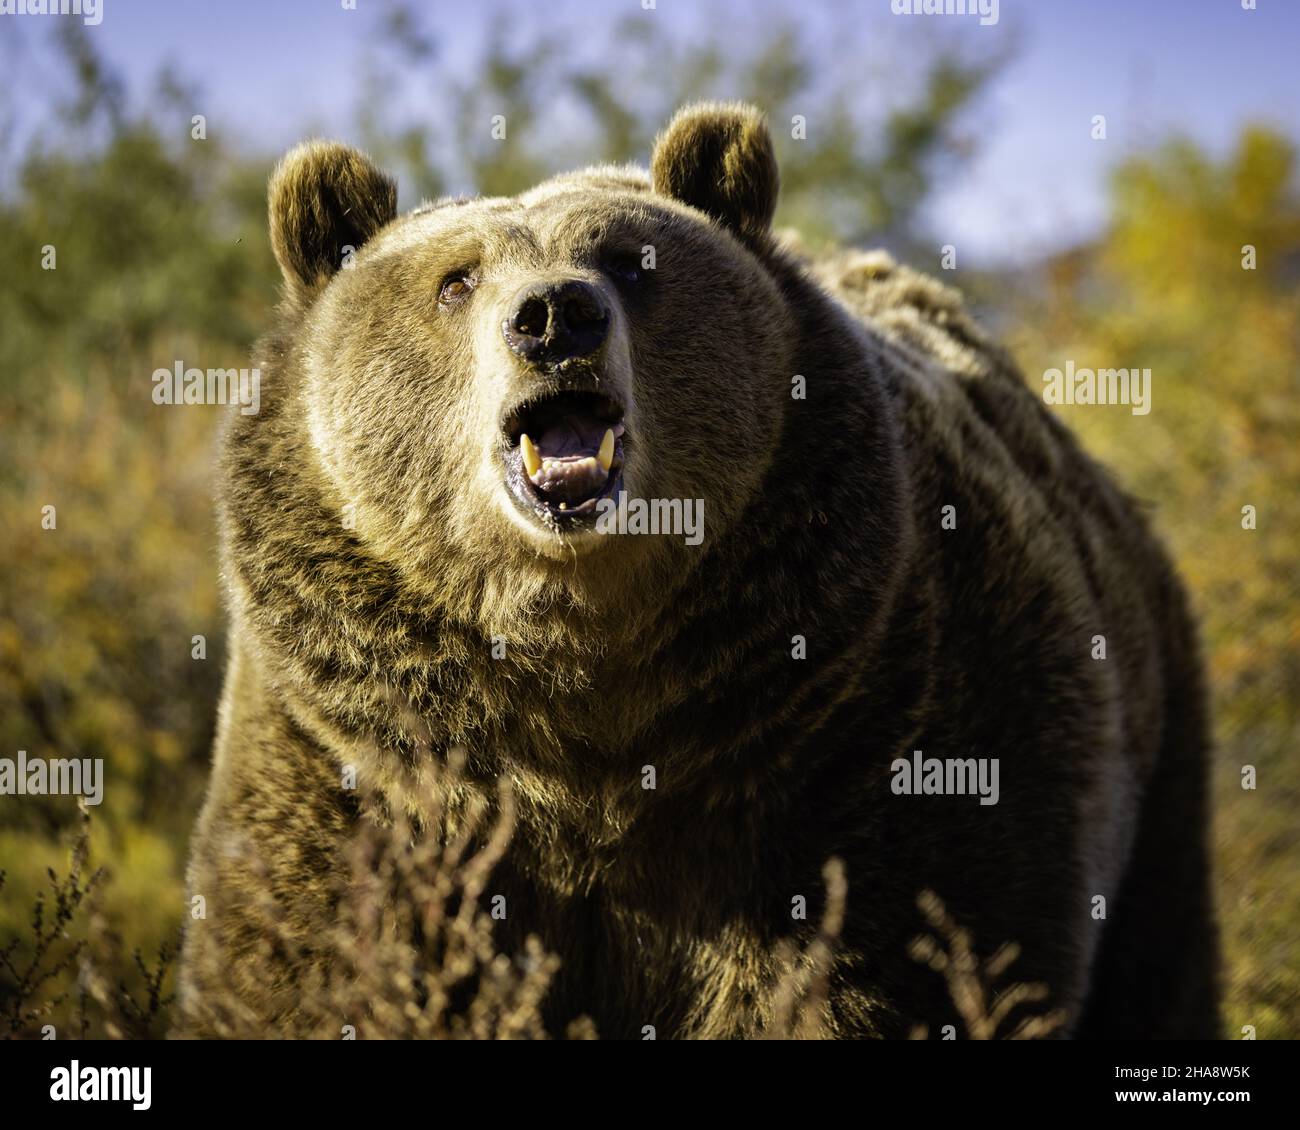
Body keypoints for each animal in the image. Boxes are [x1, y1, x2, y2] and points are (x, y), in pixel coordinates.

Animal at [178, 102, 1219, 1039]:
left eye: (630, 263)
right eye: (456, 279)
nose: (555, 316)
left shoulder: (872, 730)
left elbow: (908, 956)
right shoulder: (365, 769)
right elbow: (310, 966)